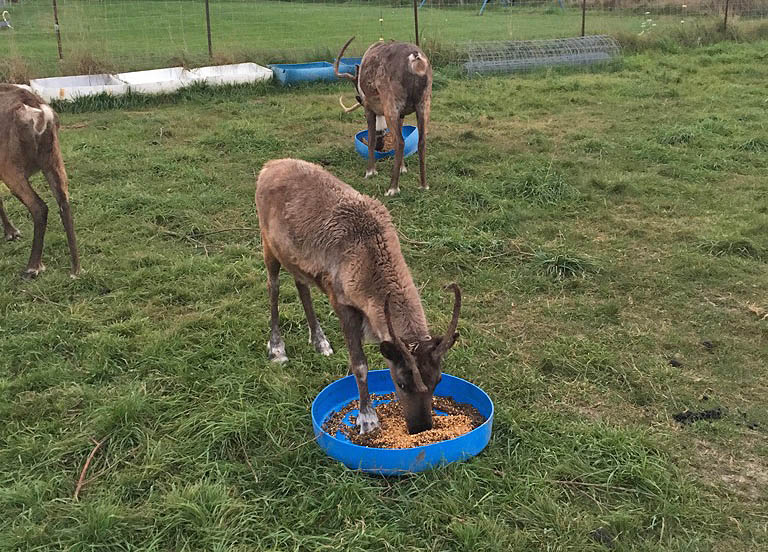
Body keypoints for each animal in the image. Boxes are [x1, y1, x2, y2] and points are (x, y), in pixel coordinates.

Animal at [0, 84, 80, 278]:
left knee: (39, 207)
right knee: (64, 203)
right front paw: (11, 233)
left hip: (10, 167)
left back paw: (32, 267)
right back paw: (76, 269)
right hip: (52, 157)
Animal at [255, 158, 461, 435]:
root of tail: (269, 165)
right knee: (273, 287)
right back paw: (277, 348)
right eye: (401, 383)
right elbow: (360, 365)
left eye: (437, 380)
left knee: (302, 286)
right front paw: (367, 418)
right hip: (268, 244)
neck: (370, 257)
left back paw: (320, 341)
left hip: (296, 258)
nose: (421, 427)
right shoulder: (343, 303)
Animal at [335, 37, 432, 197]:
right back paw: (423, 185)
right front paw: (403, 168)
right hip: (424, 103)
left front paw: (370, 172)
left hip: (390, 102)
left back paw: (392, 188)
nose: (381, 146)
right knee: (422, 140)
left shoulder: (368, 107)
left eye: (362, 114)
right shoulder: (401, 114)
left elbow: (371, 139)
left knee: (400, 142)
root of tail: (415, 57)